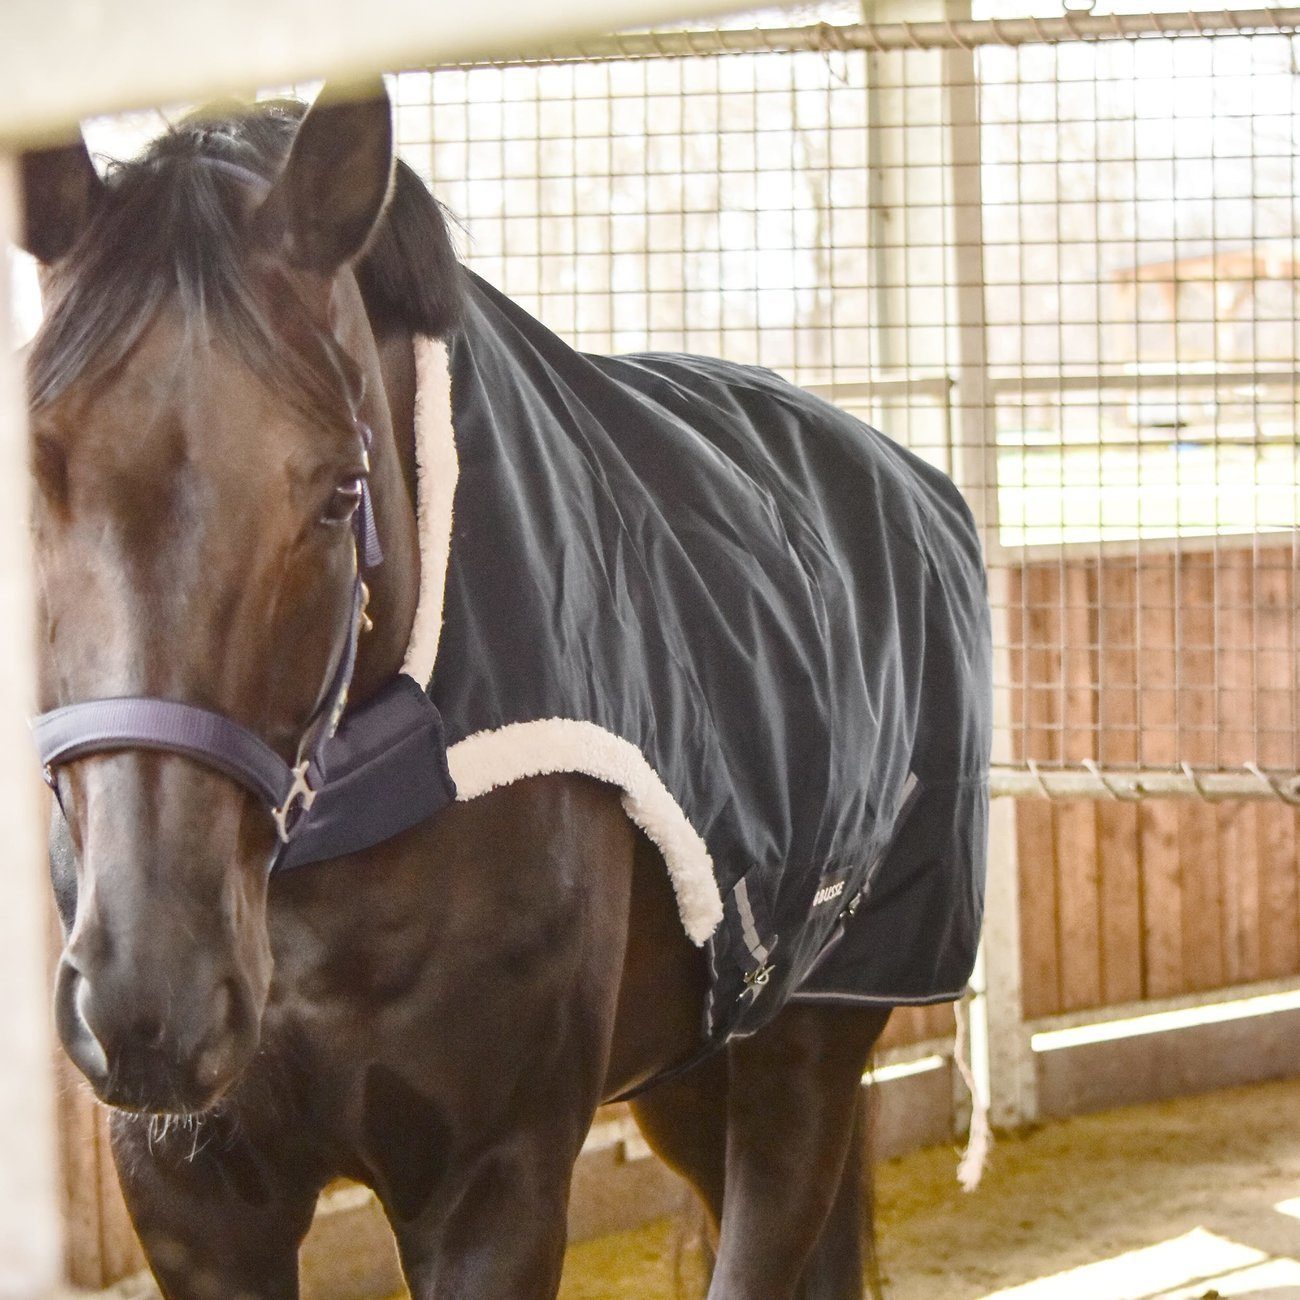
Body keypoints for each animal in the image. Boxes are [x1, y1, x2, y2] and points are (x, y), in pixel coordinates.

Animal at [17, 81, 977, 1300]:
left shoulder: (492, 1184)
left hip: (807, 1036)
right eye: (29, 476)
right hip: (691, 1065)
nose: (153, 1002)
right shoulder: (194, 1203)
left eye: (341, 492)